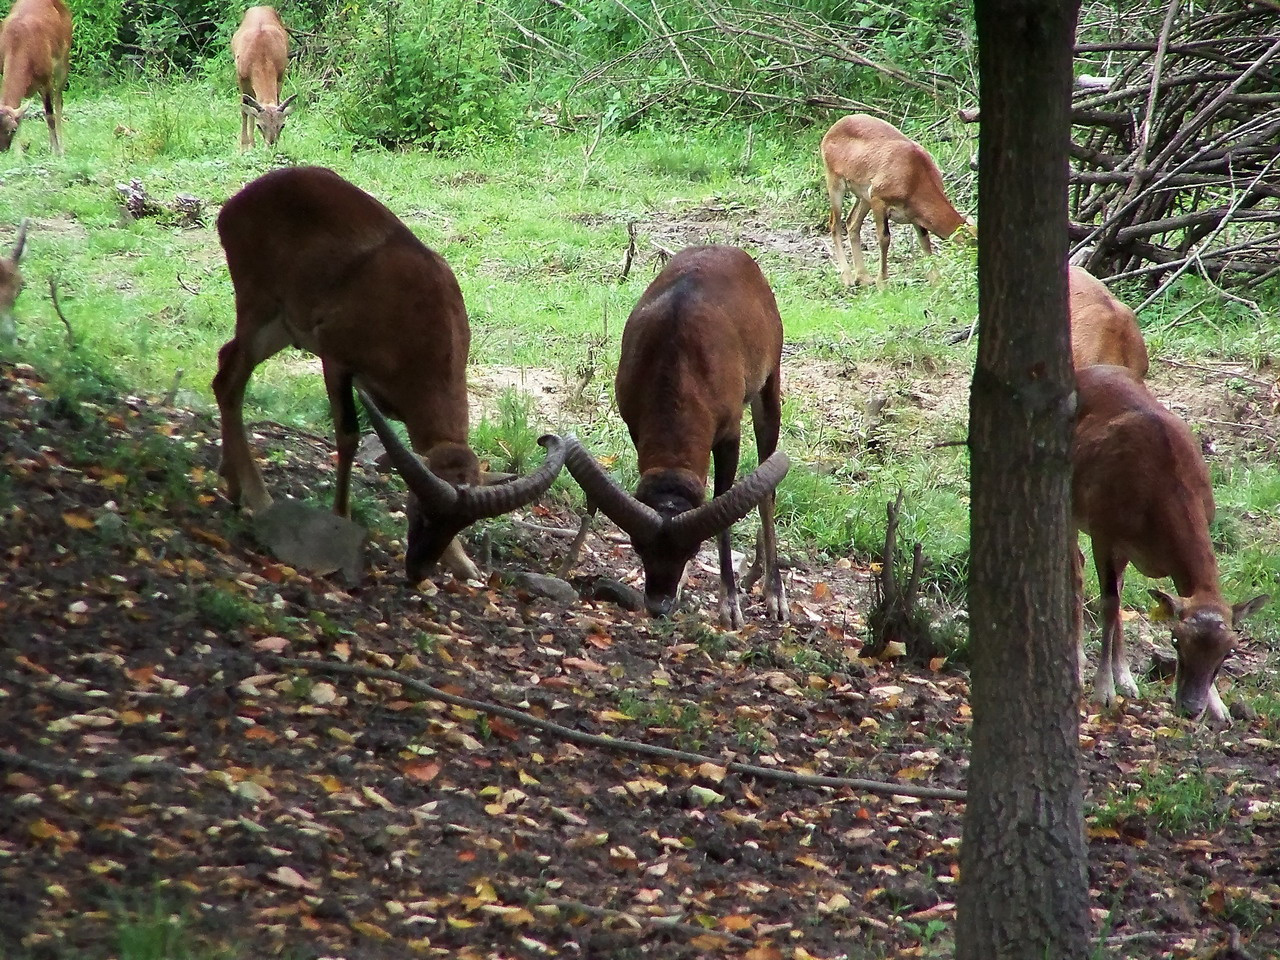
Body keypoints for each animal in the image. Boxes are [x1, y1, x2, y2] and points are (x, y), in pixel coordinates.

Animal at [0, 0, 71, 154]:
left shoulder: (46, 78)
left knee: (59, 100)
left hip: (63, 61)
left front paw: (56, 152)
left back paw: (61, 147)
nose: (2, 150)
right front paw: (19, 153)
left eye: (12, 130)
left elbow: (49, 114)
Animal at [213, 166, 565, 583]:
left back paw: (232, 485)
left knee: (224, 366)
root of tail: (235, 205)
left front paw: (464, 565)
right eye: (423, 510)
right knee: (229, 381)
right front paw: (341, 519)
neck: (416, 317)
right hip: (258, 306)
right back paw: (259, 497)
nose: (418, 570)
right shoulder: (337, 360)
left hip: (281, 327)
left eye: (461, 524)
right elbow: (348, 436)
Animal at [231, 6, 295, 150]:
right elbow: (244, 110)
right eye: (260, 126)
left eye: (282, 125)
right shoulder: (241, 77)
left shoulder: (280, 74)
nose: (271, 145)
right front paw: (243, 147)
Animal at [819, 115, 967, 288]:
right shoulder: (879, 200)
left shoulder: (914, 216)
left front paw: (936, 280)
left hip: (863, 197)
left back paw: (863, 277)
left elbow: (924, 241)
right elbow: (885, 238)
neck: (915, 175)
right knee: (834, 224)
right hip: (835, 184)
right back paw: (848, 278)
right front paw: (882, 283)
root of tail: (833, 129)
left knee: (852, 223)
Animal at [1070, 363, 1269, 727]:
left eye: (1229, 651)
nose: (1190, 708)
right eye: (1176, 640)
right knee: (1076, 569)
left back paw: (1127, 679)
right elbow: (1108, 604)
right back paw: (1077, 663)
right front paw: (1103, 692)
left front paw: (1220, 709)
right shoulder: (1104, 529)